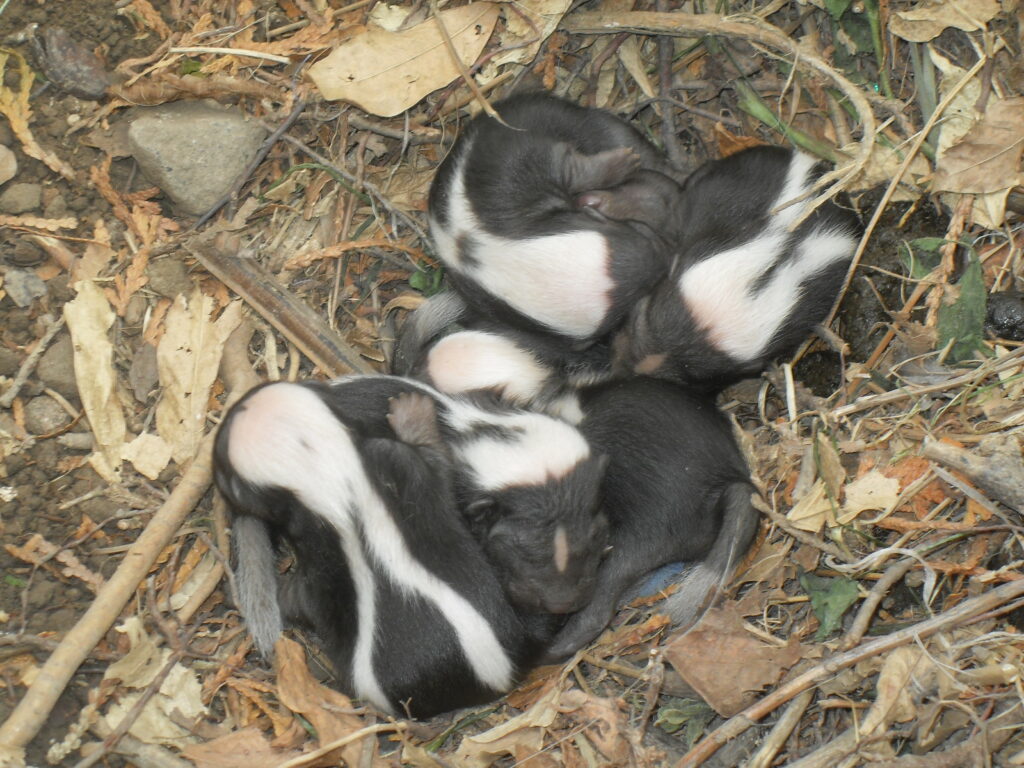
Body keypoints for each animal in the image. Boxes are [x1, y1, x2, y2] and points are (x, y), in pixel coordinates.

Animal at [428, 90, 684, 346]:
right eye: (639, 231)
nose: (668, 256)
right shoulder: (512, 183)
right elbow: (567, 166)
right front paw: (622, 164)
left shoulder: (508, 183)